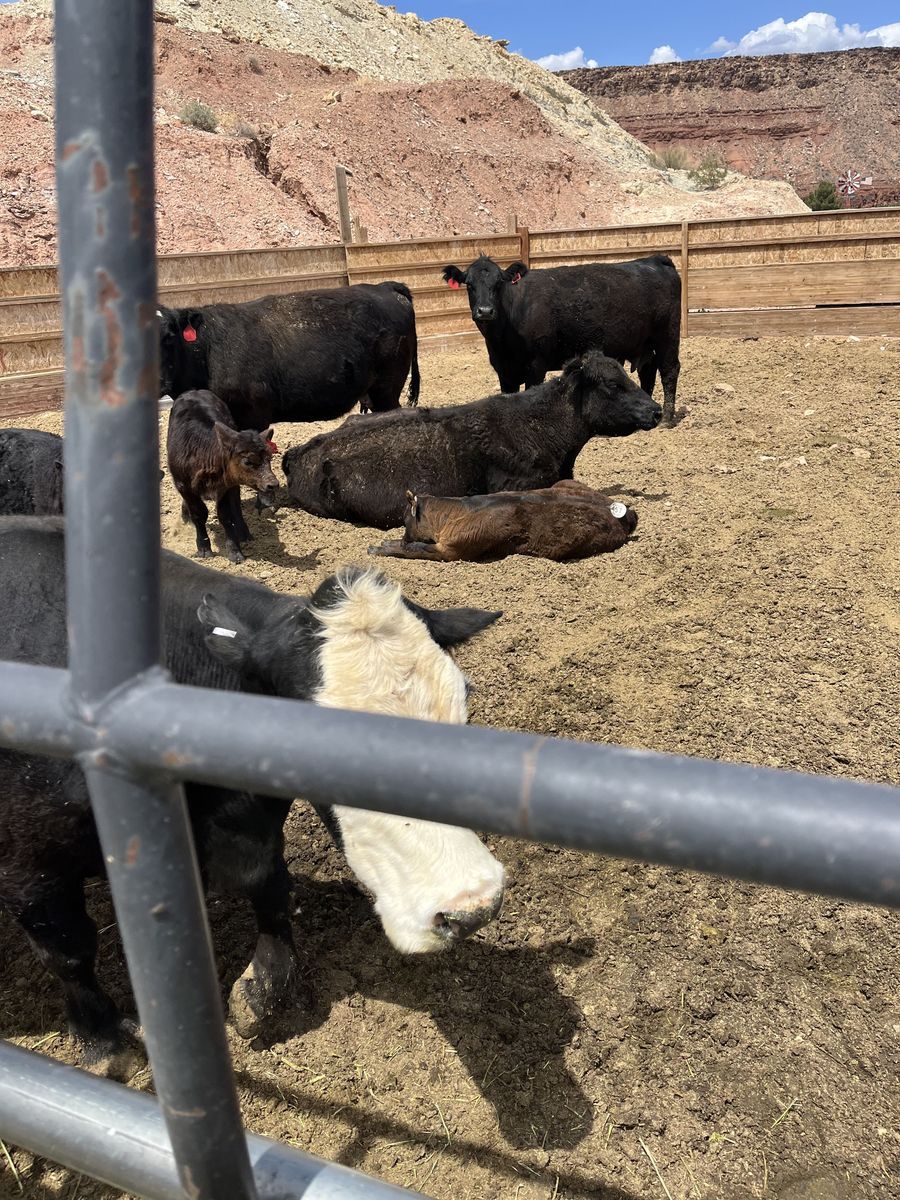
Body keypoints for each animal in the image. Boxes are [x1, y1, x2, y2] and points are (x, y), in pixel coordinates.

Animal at [0, 517, 503, 1070]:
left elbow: (270, 885)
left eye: (463, 711)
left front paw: (263, 989)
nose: (473, 906)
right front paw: (101, 1039)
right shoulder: (28, 867)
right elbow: (68, 949)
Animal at [166, 389, 279, 563]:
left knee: (236, 505)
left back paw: (244, 533)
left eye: (270, 458)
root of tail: (195, 390)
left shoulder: (225, 486)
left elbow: (225, 516)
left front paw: (234, 551)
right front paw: (203, 548)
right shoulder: (183, 485)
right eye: (248, 461)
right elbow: (199, 514)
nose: (273, 484)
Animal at [369, 480, 638, 563]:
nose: (404, 536)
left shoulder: (451, 550)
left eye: (405, 519)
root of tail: (622, 514)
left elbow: (415, 549)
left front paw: (381, 547)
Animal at [441, 253, 681, 426]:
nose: (485, 311)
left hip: (667, 336)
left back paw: (667, 418)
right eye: (469, 284)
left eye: (499, 283)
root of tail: (655, 260)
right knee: (648, 371)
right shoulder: (504, 371)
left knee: (669, 370)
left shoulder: (536, 365)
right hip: (645, 344)